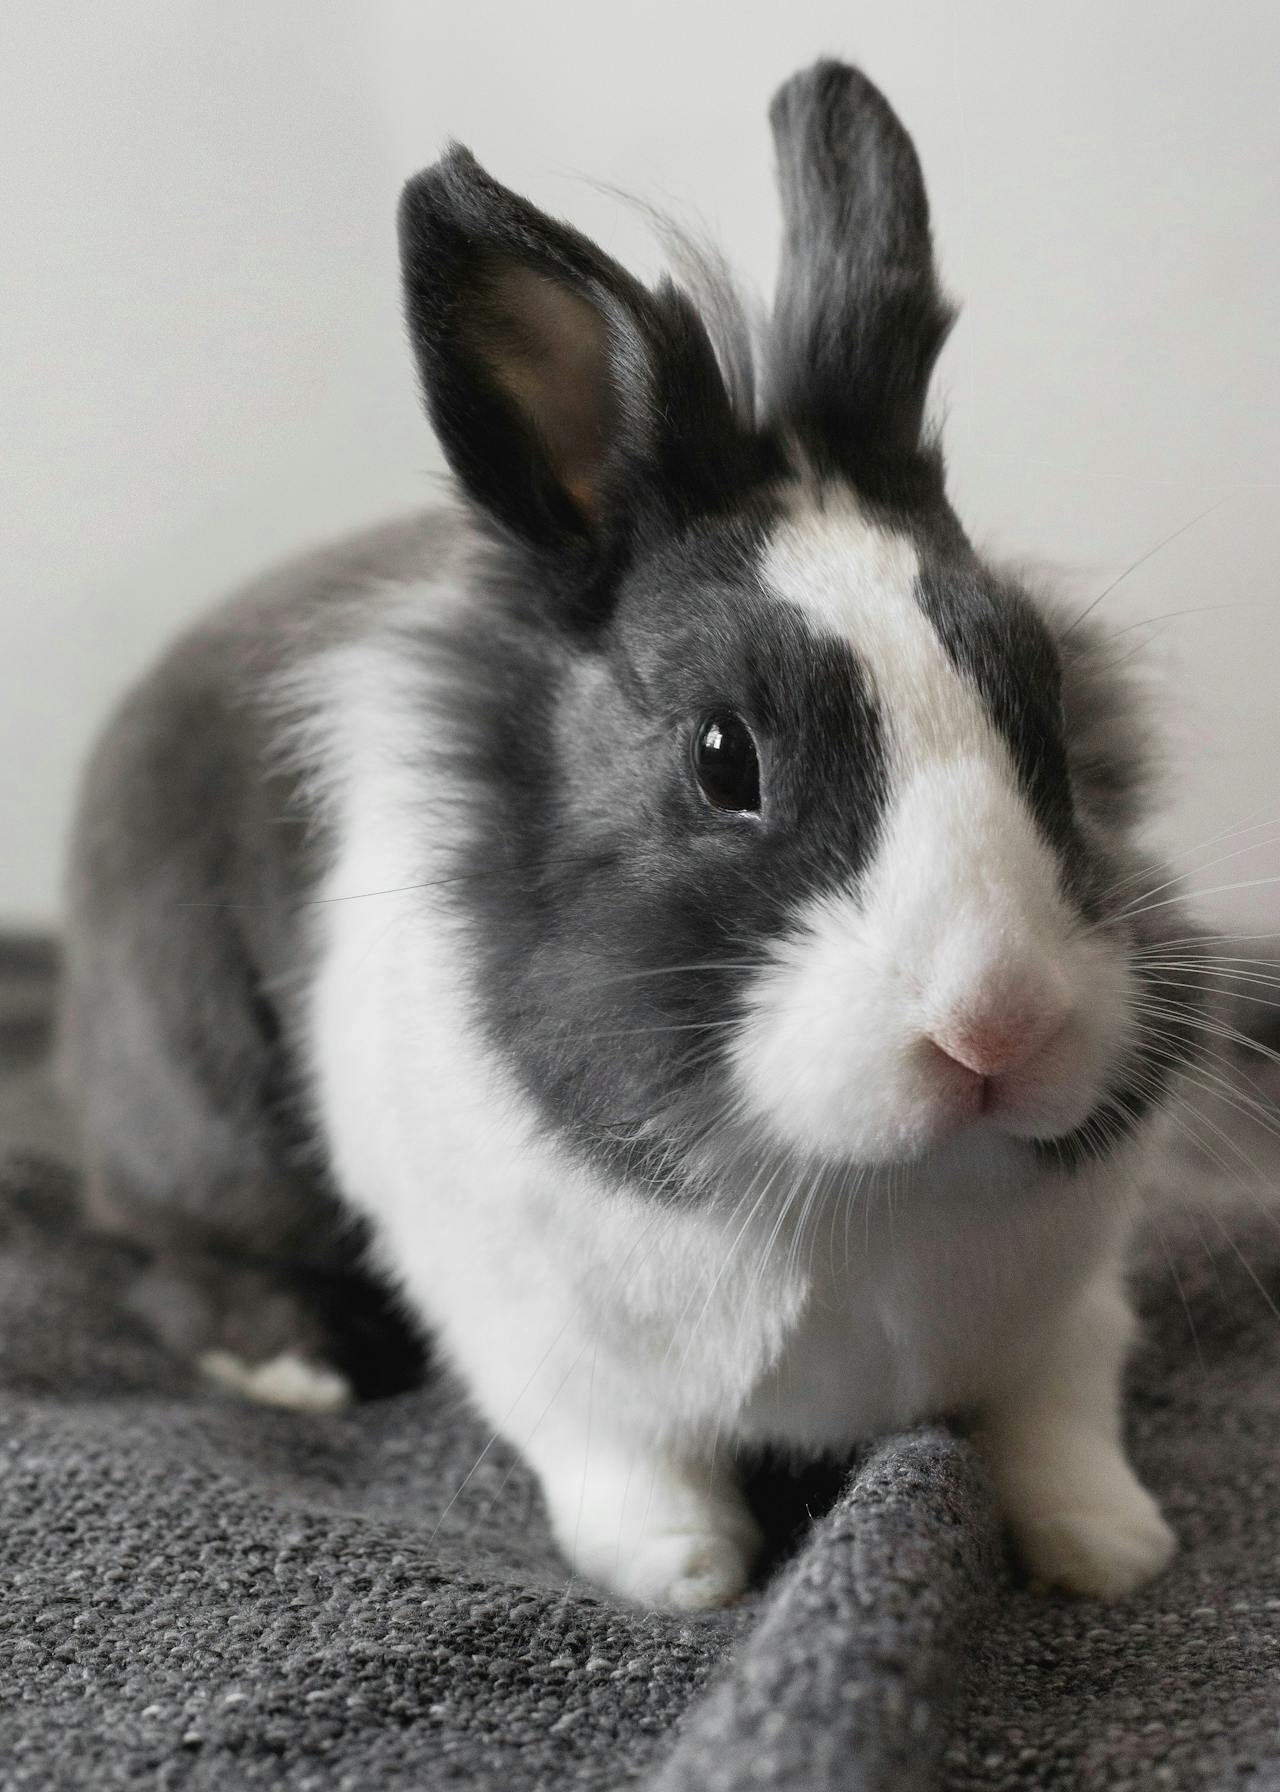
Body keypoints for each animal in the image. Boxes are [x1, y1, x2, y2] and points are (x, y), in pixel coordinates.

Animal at [60, 60, 1207, 1610]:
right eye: (724, 758)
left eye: (1050, 700)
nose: (997, 1029)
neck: (862, 1190)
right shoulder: (535, 1337)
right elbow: (621, 1457)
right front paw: (686, 1574)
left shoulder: (1071, 1306)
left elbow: (1060, 1413)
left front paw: (1111, 1546)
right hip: (192, 1108)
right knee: (167, 1248)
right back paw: (295, 1364)